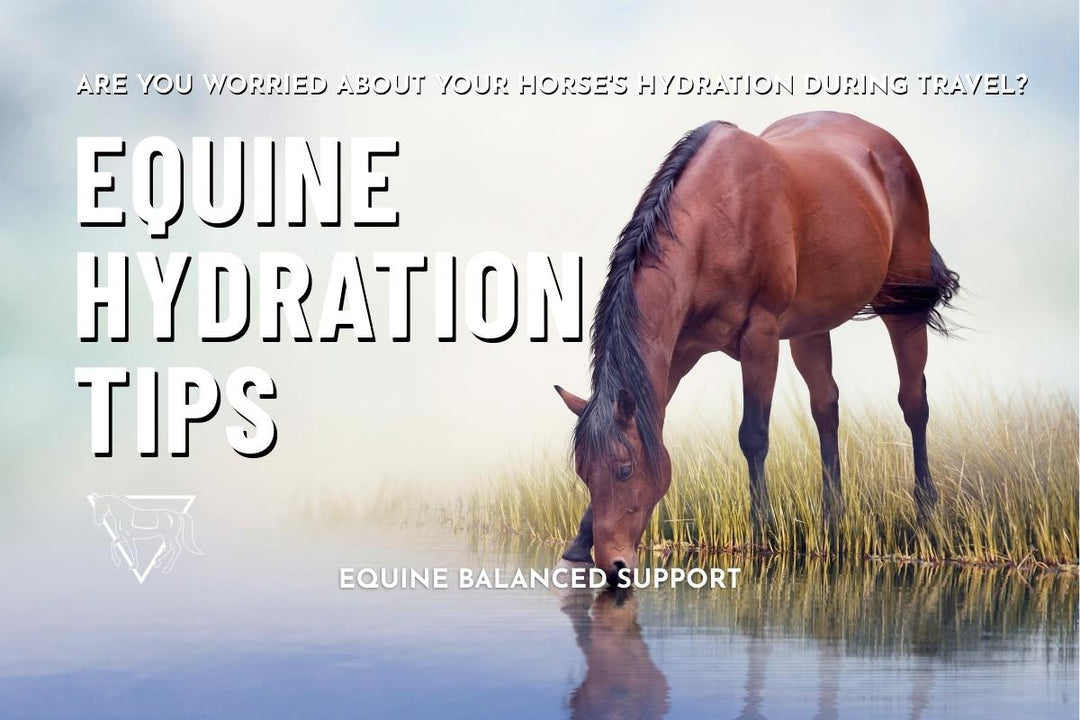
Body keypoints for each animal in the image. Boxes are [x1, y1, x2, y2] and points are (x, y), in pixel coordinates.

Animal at [554, 111, 960, 579]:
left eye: (624, 470)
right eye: (583, 471)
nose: (614, 563)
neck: (717, 220)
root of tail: (888, 146)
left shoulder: (760, 338)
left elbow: (753, 435)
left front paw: (761, 532)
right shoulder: (677, 352)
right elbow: (651, 419)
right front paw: (579, 542)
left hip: (901, 307)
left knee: (913, 402)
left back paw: (926, 510)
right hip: (809, 328)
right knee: (826, 407)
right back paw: (833, 517)